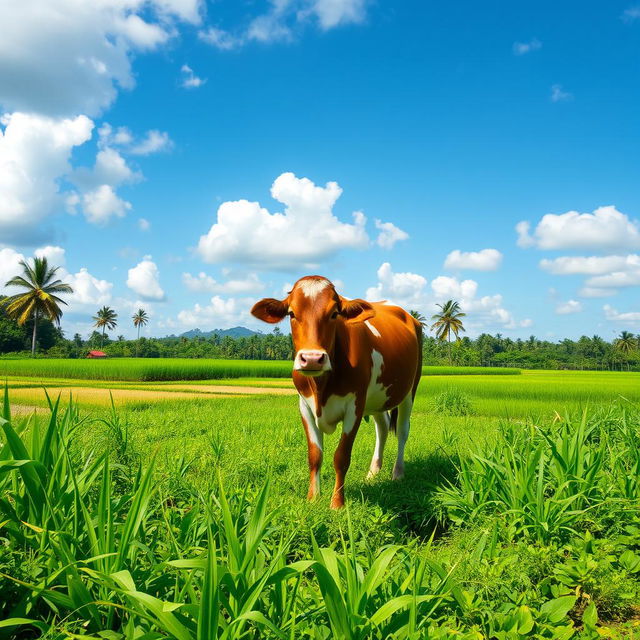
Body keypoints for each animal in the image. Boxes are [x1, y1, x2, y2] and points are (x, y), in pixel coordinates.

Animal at [251, 276, 424, 510]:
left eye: (334, 313)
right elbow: (315, 455)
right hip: (377, 399)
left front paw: (337, 503)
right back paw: (373, 472)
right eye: (292, 313)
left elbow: (341, 456)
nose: (312, 359)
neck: (321, 387)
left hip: (409, 391)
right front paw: (313, 499)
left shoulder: (355, 406)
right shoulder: (305, 406)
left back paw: (398, 473)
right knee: (383, 428)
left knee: (403, 431)